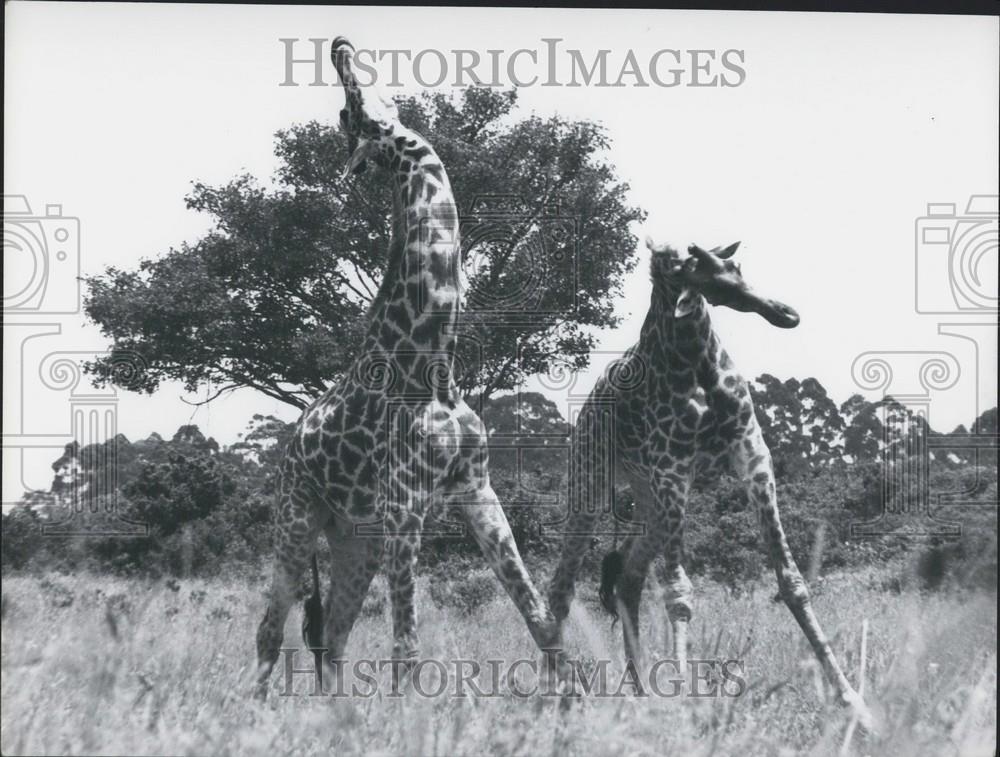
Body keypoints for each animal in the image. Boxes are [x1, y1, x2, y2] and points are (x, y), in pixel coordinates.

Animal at [254, 38, 560, 692]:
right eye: (351, 114)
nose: (340, 48)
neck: (433, 362)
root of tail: (288, 448)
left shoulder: (476, 489)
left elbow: (543, 619)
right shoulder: (404, 504)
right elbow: (407, 648)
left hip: (355, 539)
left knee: (332, 636)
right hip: (297, 518)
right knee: (272, 629)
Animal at [548, 239, 868, 724]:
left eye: (735, 266)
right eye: (707, 280)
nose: (785, 313)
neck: (694, 363)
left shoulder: (752, 454)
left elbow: (792, 581)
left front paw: (853, 702)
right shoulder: (673, 467)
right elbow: (679, 593)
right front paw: (684, 704)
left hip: (653, 501)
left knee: (628, 578)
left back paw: (640, 693)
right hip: (594, 481)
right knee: (561, 588)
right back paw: (558, 694)